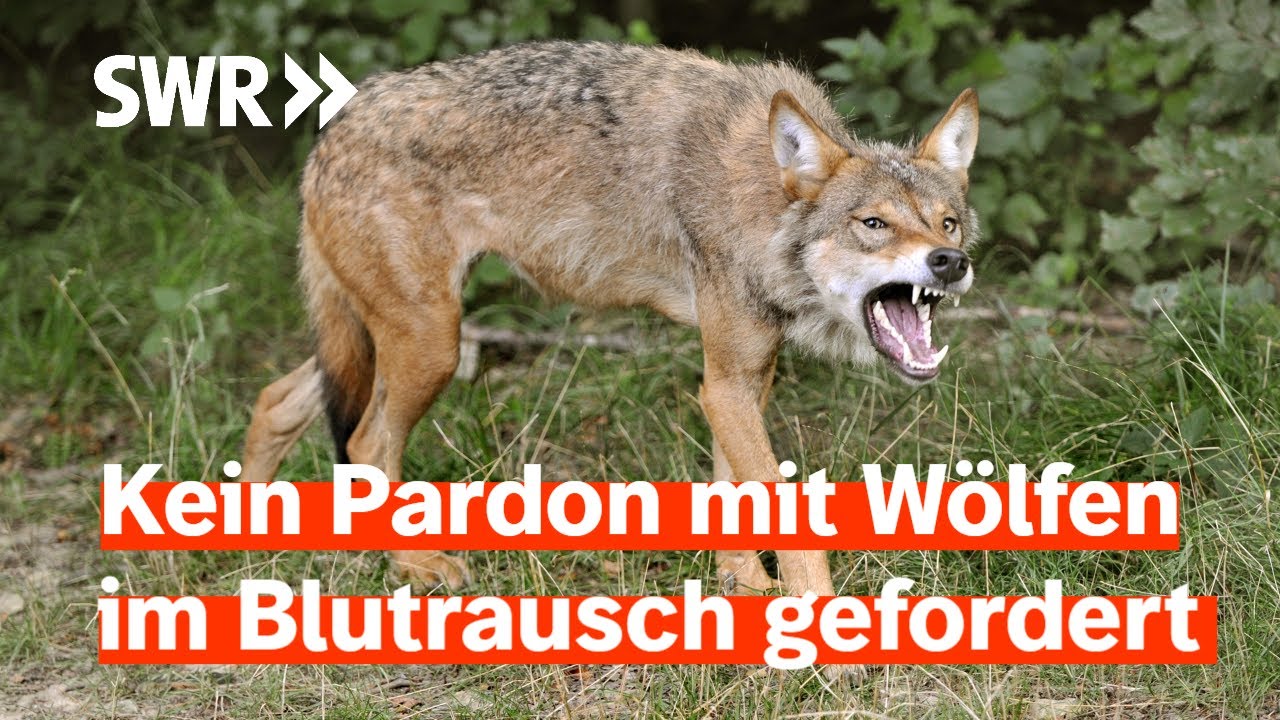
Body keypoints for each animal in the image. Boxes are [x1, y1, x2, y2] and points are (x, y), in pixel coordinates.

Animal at [240, 41, 979, 600]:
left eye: (947, 222)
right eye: (874, 224)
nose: (950, 262)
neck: (761, 198)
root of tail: (333, 129)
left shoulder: (739, 377)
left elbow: (731, 491)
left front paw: (744, 587)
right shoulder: (726, 383)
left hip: (388, 341)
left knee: (275, 399)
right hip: (432, 346)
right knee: (366, 444)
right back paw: (417, 566)